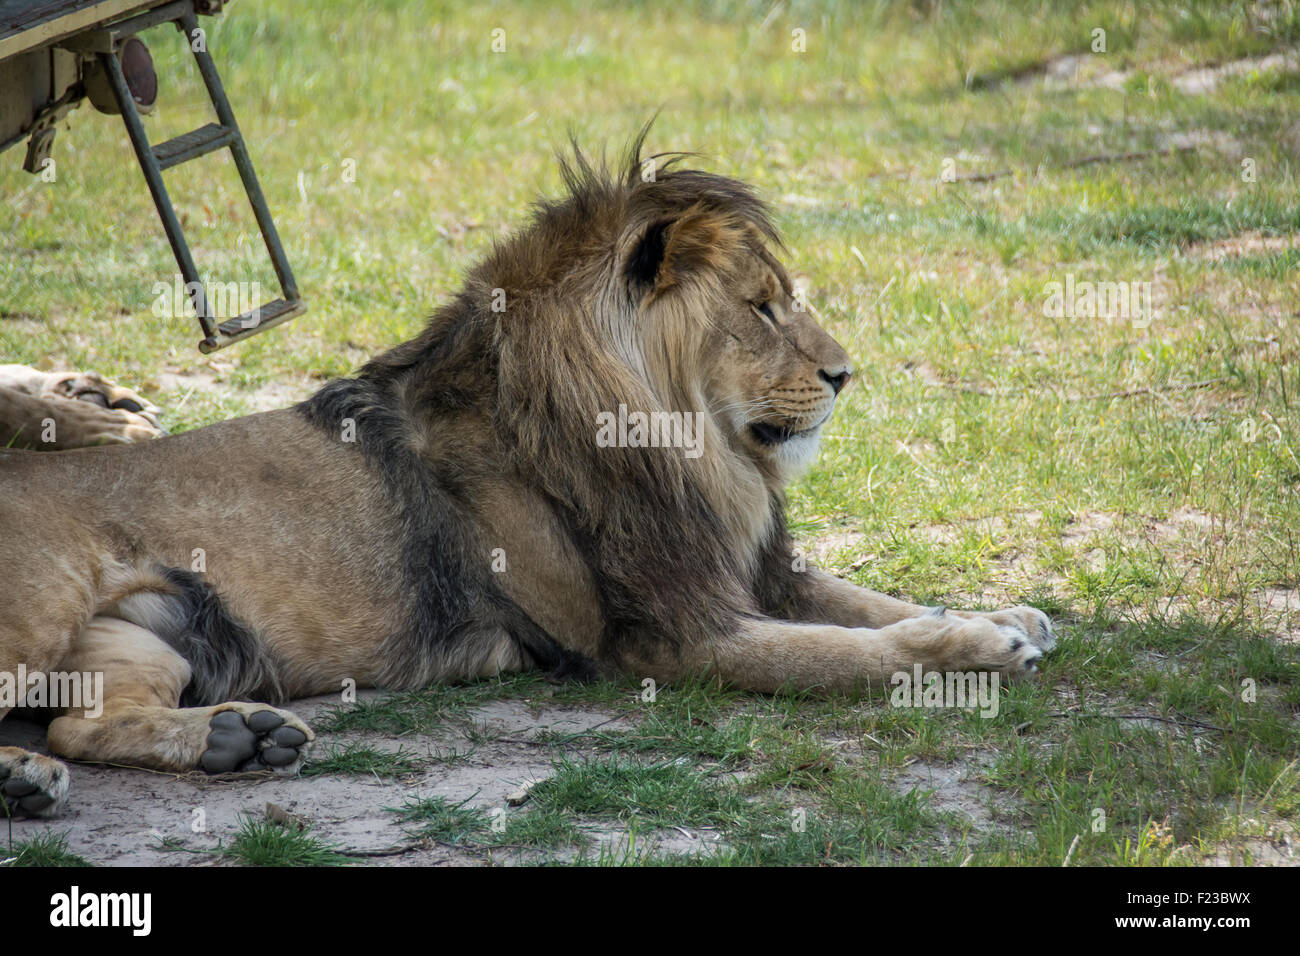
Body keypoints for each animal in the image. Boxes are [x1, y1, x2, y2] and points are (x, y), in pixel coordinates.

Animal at [0, 130, 1050, 816]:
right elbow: (849, 653)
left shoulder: (740, 571)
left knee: (80, 726)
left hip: (147, 642)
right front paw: (978, 651)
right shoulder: (664, 639)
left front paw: (1004, 613)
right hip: (40, 607)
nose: (844, 374)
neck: (695, 454)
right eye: (760, 308)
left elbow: (868, 601)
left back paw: (233, 741)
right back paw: (39, 782)